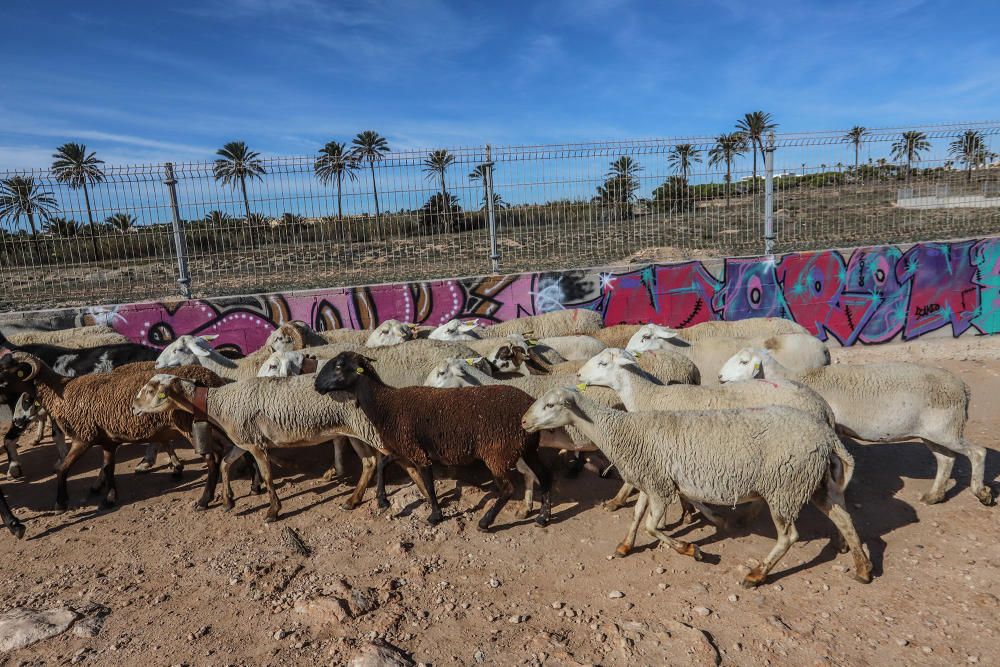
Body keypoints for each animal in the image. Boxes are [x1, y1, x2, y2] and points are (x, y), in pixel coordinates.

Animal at [520, 388, 872, 588]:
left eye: (550, 405)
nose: (523, 422)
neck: (620, 431)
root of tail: (828, 437)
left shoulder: (661, 487)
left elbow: (652, 527)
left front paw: (694, 551)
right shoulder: (651, 479)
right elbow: (636, 517)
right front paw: (624, 545)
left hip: (784, 487)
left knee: (789, 537)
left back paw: (757, 575)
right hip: (816, 484)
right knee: (845, 520)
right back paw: (862, 568)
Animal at [720, 350, 992, 506]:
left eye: (743, 362)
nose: (720, 378)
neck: (795, 377)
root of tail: (963, 387)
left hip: (947, 429)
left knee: (977, 453)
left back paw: (981, 493)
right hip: (935, 432)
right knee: (946, 460)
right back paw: (934, 496)